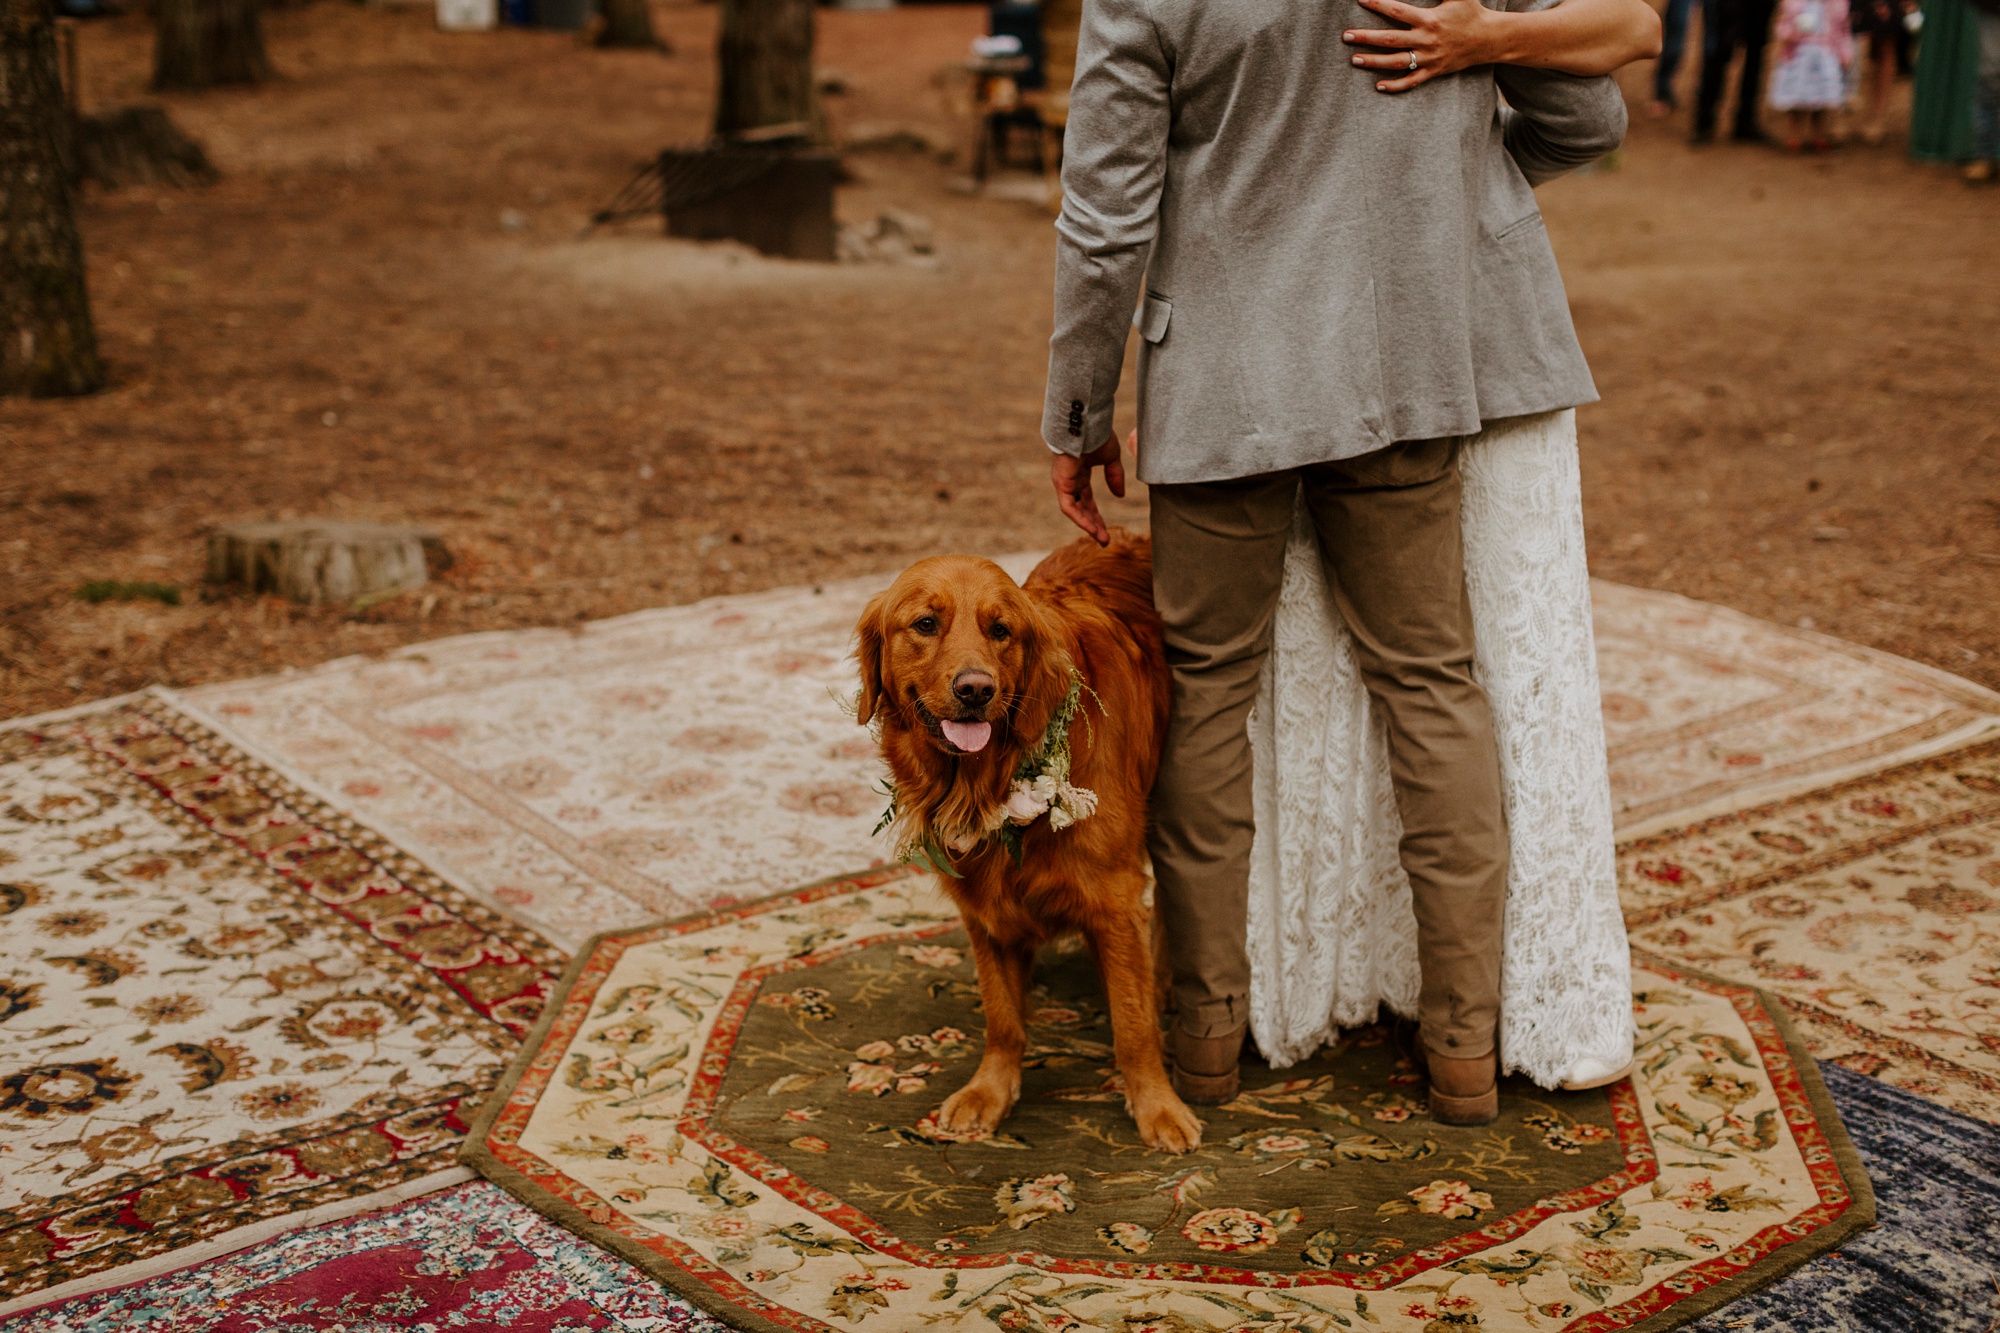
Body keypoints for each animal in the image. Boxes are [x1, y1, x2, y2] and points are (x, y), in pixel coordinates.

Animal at [848, 528, 1200, 1152]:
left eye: (1001, 630)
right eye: (925, 624)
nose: (975, 689)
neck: (989, 777)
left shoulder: (1115, 900)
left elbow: (1133, 1025)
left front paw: (1158, 1106)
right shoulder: (982, 904)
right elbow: (1002, 1017)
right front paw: (990, 1091)